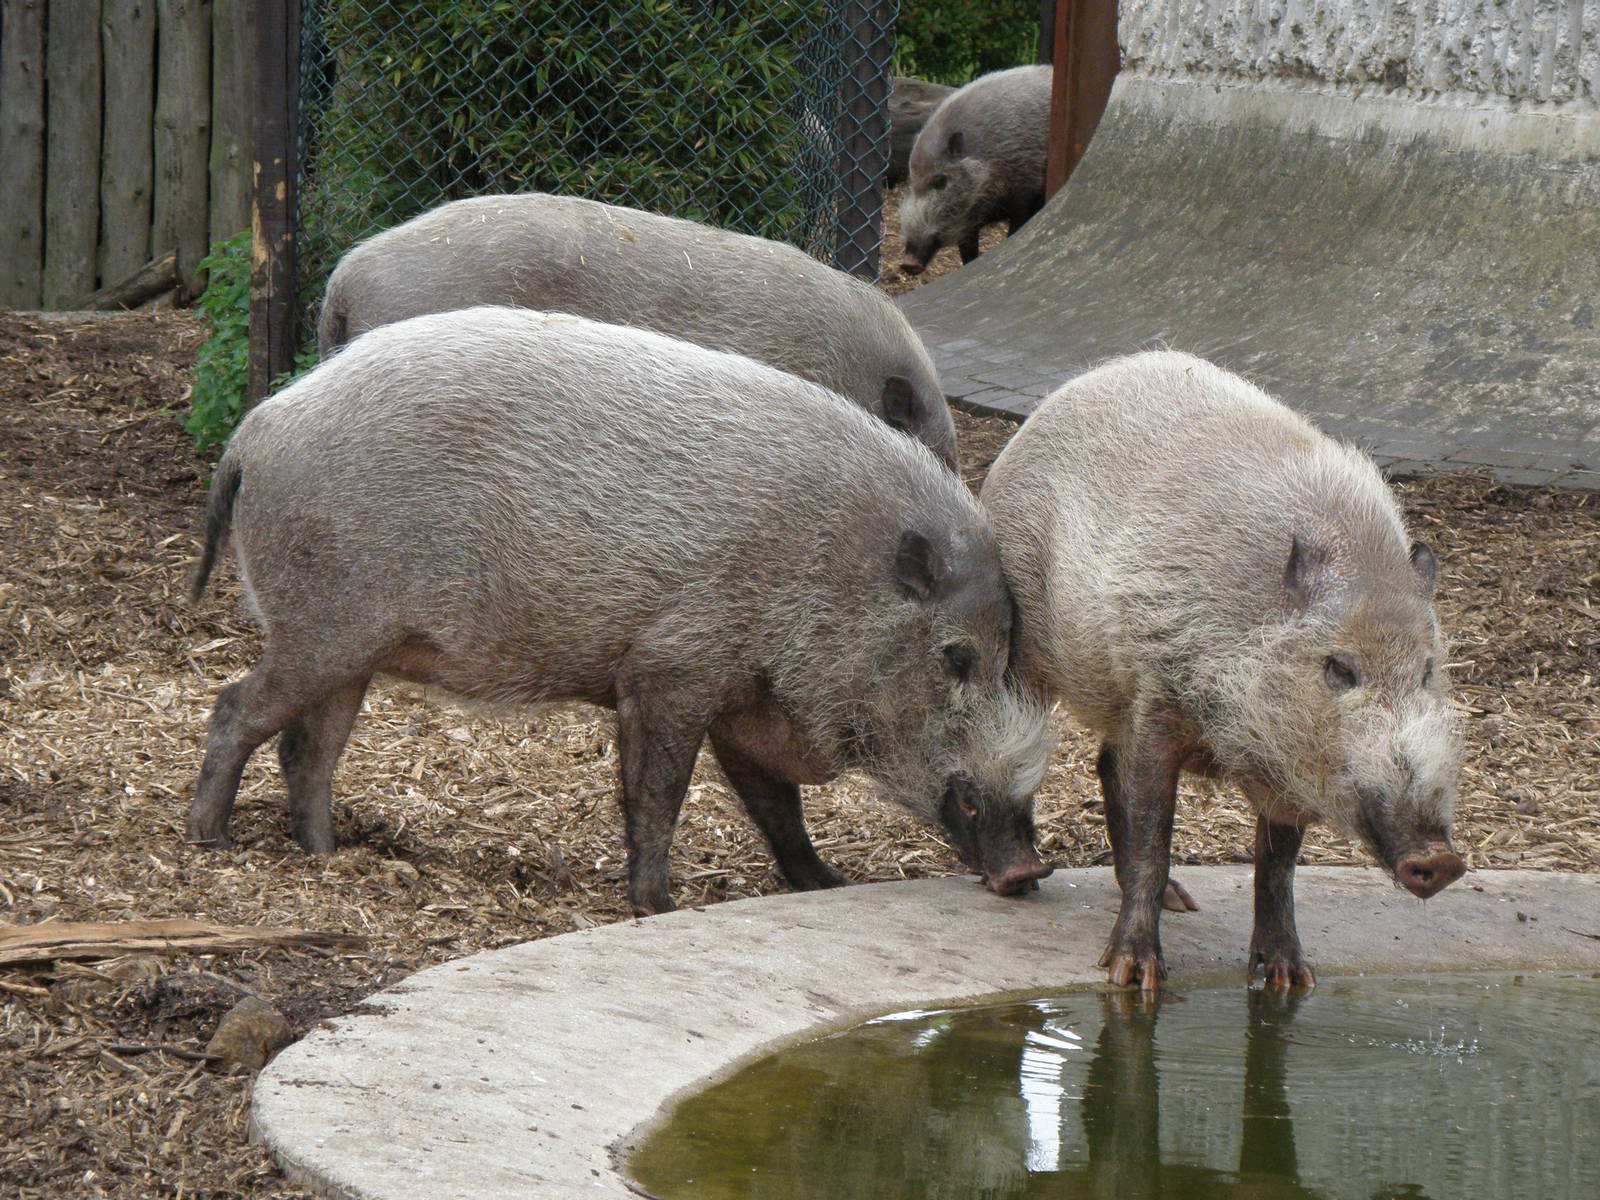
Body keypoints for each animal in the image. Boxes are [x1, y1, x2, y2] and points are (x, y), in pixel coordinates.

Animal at [189, 307, 1053, 915]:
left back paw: (327, 855)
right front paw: (658, 905)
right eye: (958, 656)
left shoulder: (741, 700)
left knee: (309, 747)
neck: (823, 566)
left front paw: (828, 882)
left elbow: (778, 808)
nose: (1026, 870)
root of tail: (255, 432)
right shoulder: (671, 668)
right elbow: (660, 792)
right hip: (320, 625)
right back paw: (210, 840)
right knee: (236, 707)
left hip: (351, 646)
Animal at [899, 64, 1052, 274]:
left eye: (940, 181)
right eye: (911, 182)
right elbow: (967, 252)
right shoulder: (968, 221)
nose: (908, 263)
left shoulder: (1025, 191)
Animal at [980, 351, 1464, 992]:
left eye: (1428, 671)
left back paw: (1181, 901)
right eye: (1338, 667)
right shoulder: (1158, 692)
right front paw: (1133, 977)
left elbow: (1278, 864)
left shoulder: (1285, 764)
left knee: (1105, 762)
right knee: (1030, 749)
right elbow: (1154, 838)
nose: (1442, 858)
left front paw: (1290, 979)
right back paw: (1019, 880)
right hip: (1030, 650)